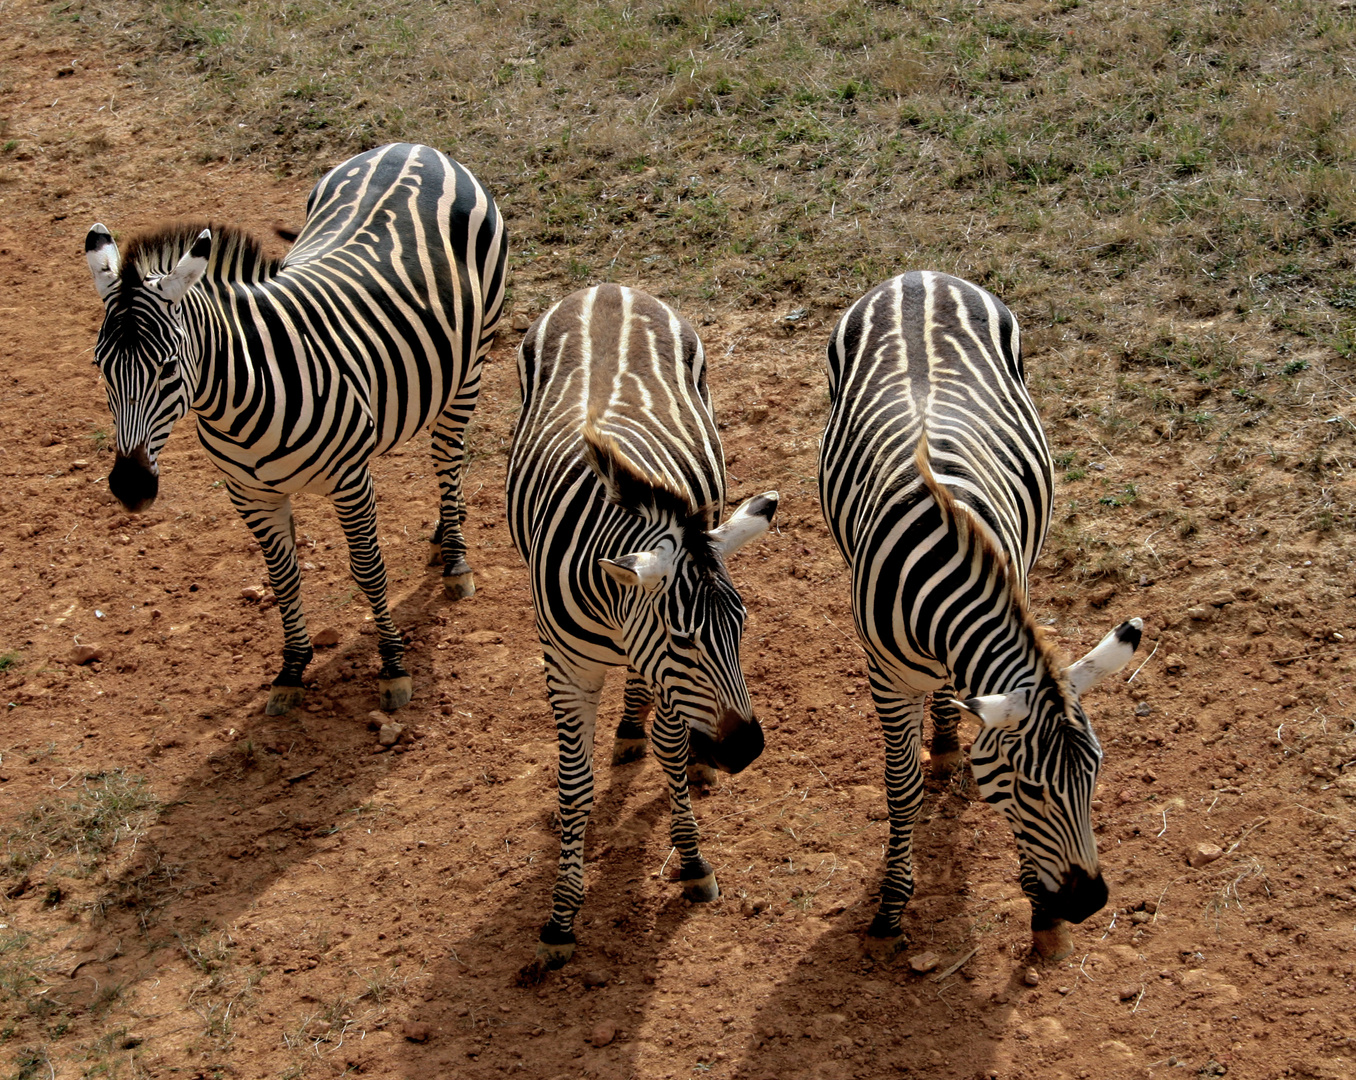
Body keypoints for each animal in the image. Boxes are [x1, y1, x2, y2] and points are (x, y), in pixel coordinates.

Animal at [84, 143, 509, 716]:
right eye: (100, 366)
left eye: (169, 367)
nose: (131, 488)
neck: (240, 399)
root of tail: (412, 146)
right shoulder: (248, 493)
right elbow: (282, 578)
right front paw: (291, 668)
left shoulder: (350, 481)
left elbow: (368, 568)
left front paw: (393, 669)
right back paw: (446, 529)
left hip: (472, 359)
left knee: (447, 451)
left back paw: (457, 558)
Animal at [507, 282, 781, 966]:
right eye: (684, 639)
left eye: (743, 628)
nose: (745, 750)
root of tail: (607, 286)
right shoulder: (566, 669)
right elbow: (574, 785)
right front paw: (560, 919)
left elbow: (673, 748)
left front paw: (692, 861)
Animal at [813, 272, 1144, 960]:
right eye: (1029, 788)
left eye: (1096, 773)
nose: (1089, 903)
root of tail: (918, 275)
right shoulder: (886, 678)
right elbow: (901, 790)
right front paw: (892, 906)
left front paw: (1039, 912)